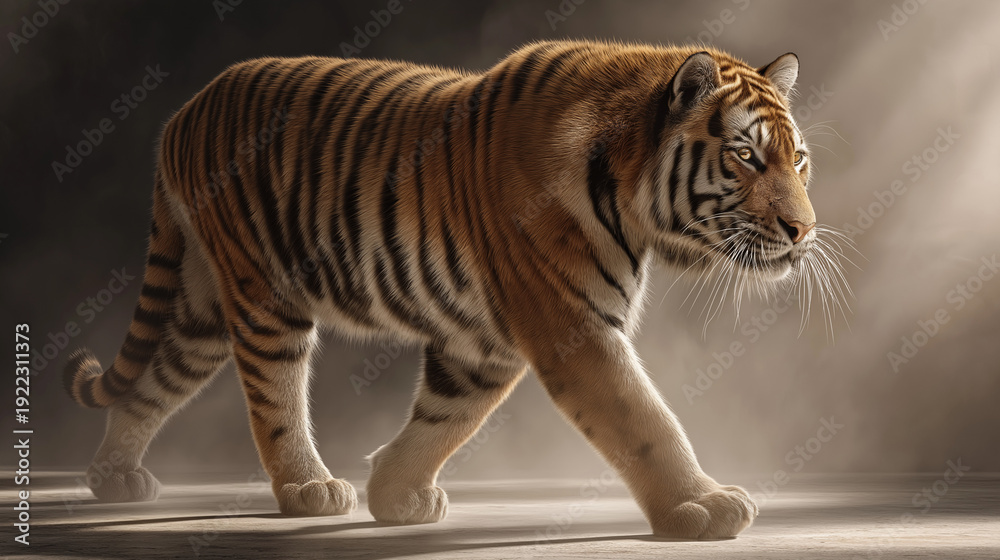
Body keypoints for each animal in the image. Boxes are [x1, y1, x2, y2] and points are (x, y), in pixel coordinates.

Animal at [64, 38, 825, 539]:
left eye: (799, 161)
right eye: (745, 156)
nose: (804, 231)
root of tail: (182, 110)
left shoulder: (485, 343)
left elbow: (446, 419)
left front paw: (395, 493)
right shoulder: (571, 326)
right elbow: (645, 420)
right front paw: (702, 506)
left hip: (201, 310)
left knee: (156, 381)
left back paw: (113, 478)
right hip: (263, 294)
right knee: (274, 398)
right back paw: (307, 487)